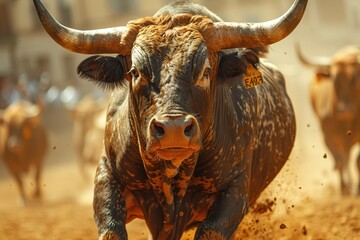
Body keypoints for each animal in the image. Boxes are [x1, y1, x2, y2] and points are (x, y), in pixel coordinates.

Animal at [33, 0, 306, 239]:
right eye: (135, 72)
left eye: (206, 71)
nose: (173, 128)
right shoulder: (106, 174)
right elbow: (112, 230)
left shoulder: (235, 191)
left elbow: (211, 231)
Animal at [296, 44, 360, 195]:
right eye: (335, 79)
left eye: (356, 78)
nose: (345, 110)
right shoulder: (328, 138)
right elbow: (339, 162)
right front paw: (344, 189)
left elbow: (357, 161)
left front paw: (357, 189)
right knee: (343, 159)